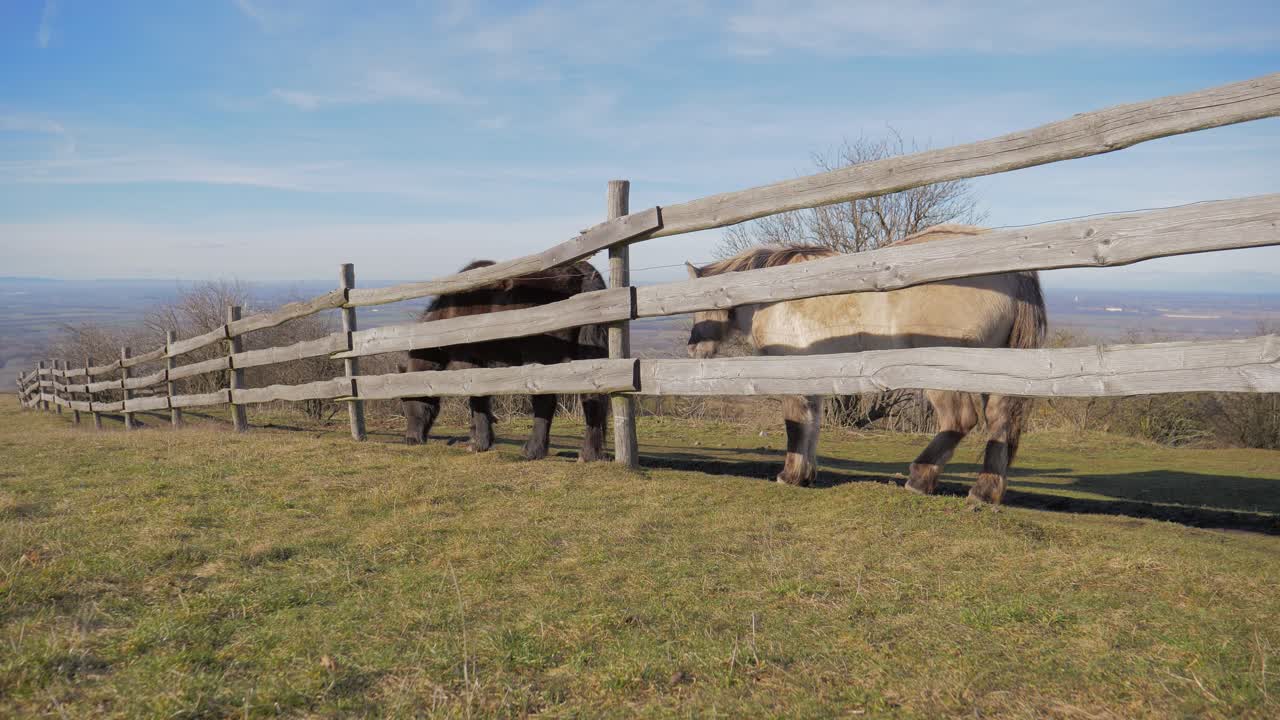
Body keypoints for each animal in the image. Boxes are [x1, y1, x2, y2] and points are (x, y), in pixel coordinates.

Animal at [401, 259, 609, 462]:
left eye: (407, 399)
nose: (411, 439)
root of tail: (580, 271)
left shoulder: (468, 362)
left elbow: (476, 398)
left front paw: (480, 443)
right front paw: (476, 439)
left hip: (540, 359)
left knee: (546, 401)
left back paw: (533, 450)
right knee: (592, 398)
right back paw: (590, 454)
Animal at [685, 225, 1047, 505]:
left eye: (700, 306)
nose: (693, 350)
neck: (773, 292)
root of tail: (1014, 274)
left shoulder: (790, 374)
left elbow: (794, 424)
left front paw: (789, 475)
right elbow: (811, 425)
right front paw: (806, 474)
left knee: (959, 420)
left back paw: (920, 479)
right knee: (1000, 422)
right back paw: (985, 492)